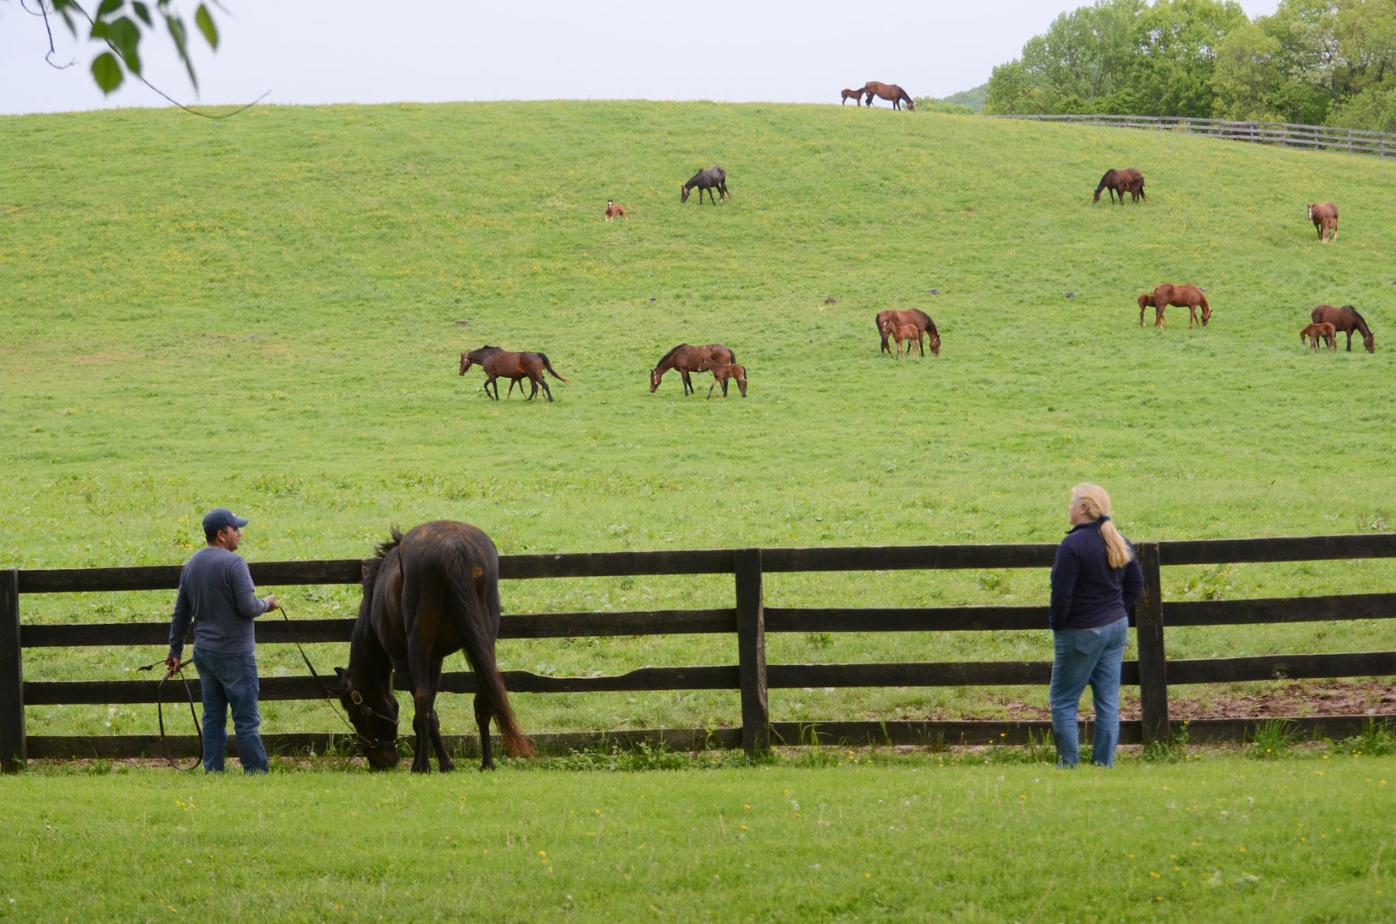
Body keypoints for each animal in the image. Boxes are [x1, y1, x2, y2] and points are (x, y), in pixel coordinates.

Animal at [333, 521, 533, 773]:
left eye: (355, 716)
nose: (381, 762)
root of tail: (452, 548)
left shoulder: (401, 657)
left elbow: (425, 709)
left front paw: (436, 762)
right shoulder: (436, 659)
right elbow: (431, 711)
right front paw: (443, 762)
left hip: (420, 642)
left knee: (422, 700)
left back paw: (422, 765)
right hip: (484, 639)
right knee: (484, 696)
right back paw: (487, 763)